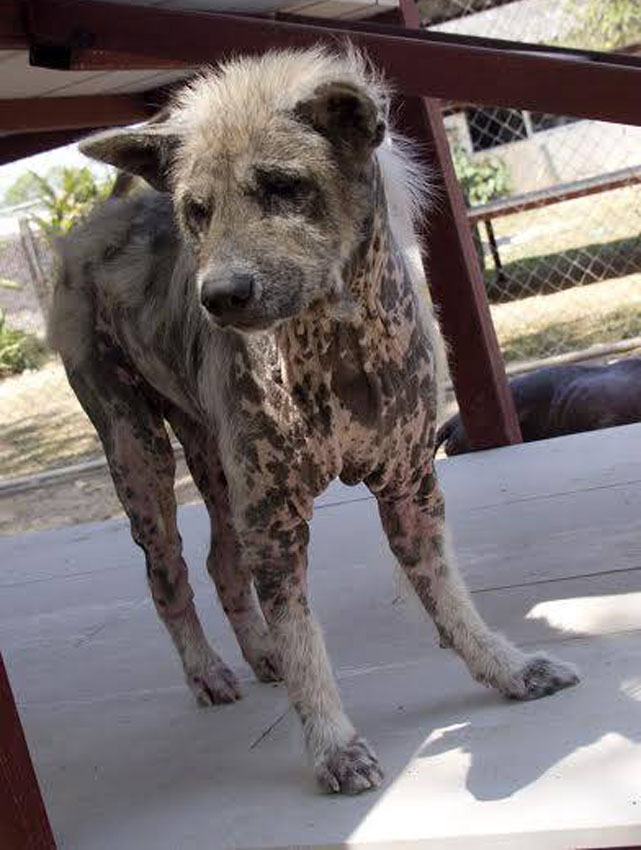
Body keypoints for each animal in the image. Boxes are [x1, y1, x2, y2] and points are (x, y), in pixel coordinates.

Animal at [47, 46, 576, 792]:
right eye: (196, 211)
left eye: (282, 186)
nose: (218, 296)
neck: (336, 349)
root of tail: (96, 222)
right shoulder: (276, 521)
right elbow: (306, 643)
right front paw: (333, 746)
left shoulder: (410, 489)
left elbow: (450, 598)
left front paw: (507, 669)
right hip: (138, 455)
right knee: (168, 575)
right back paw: (208, 671)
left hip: (217, 468)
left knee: (219, 563)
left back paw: (257, 654)